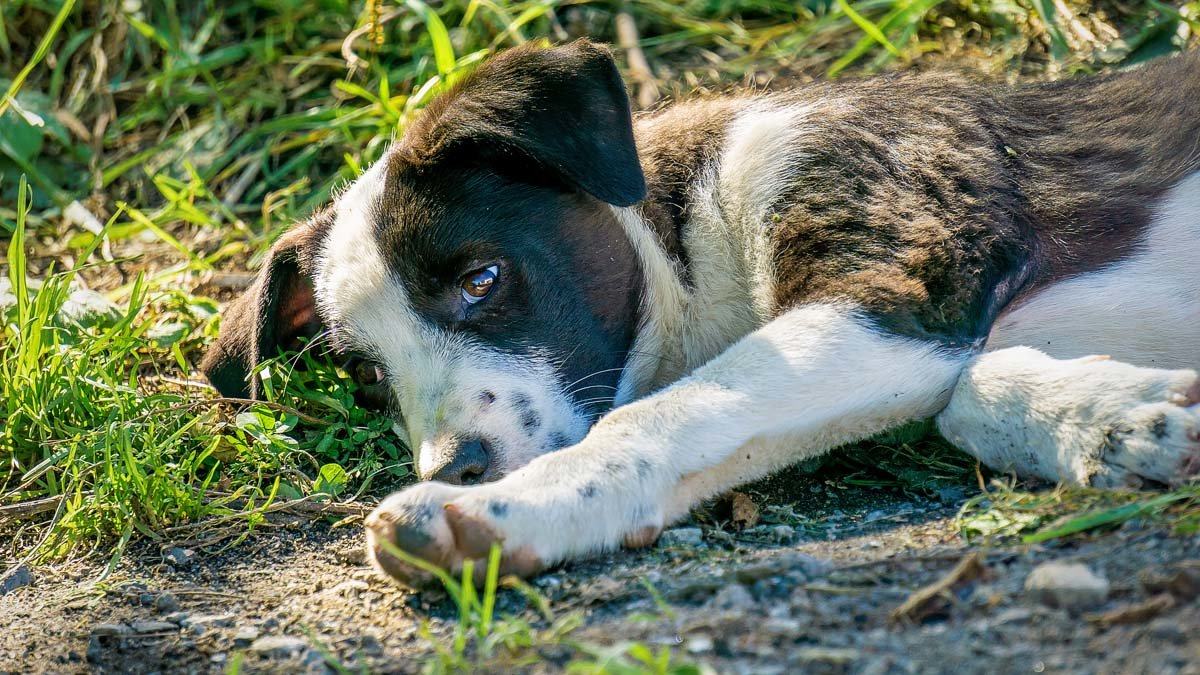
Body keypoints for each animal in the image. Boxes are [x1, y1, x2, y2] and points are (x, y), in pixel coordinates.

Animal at [206, 40, 1200, 583]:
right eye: (368, 375)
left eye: (481, 279)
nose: (457, 468)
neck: (698, 232)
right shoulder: (923, 323)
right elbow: (973, 391)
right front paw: (1126, 418)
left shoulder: (900, 286)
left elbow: (657, 417)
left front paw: (504, 513)